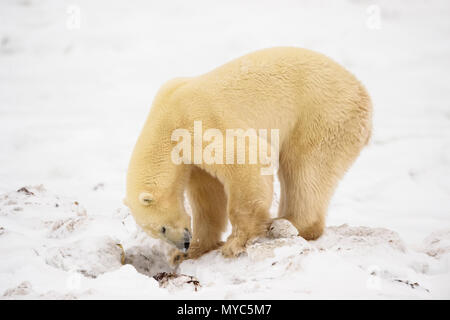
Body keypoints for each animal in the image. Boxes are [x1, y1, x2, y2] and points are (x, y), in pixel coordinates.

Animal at [125, 48, 370, 262]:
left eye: (162, 228)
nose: (183, 243)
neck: (165, 119)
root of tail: (363, 93)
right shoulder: (191, 160)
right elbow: (208, 194)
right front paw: (192, 250)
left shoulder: (198, 125)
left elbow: (247, 157)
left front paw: (234, 243)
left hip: (322, 116)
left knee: (306, 170)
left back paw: (288, 224)